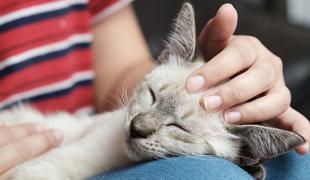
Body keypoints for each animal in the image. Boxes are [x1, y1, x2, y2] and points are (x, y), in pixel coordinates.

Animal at [0, 2, 306, 180]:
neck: (117, 160)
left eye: (178, 128)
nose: (136, 128)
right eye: (152, 96)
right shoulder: (36, 171)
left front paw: (252, 166)